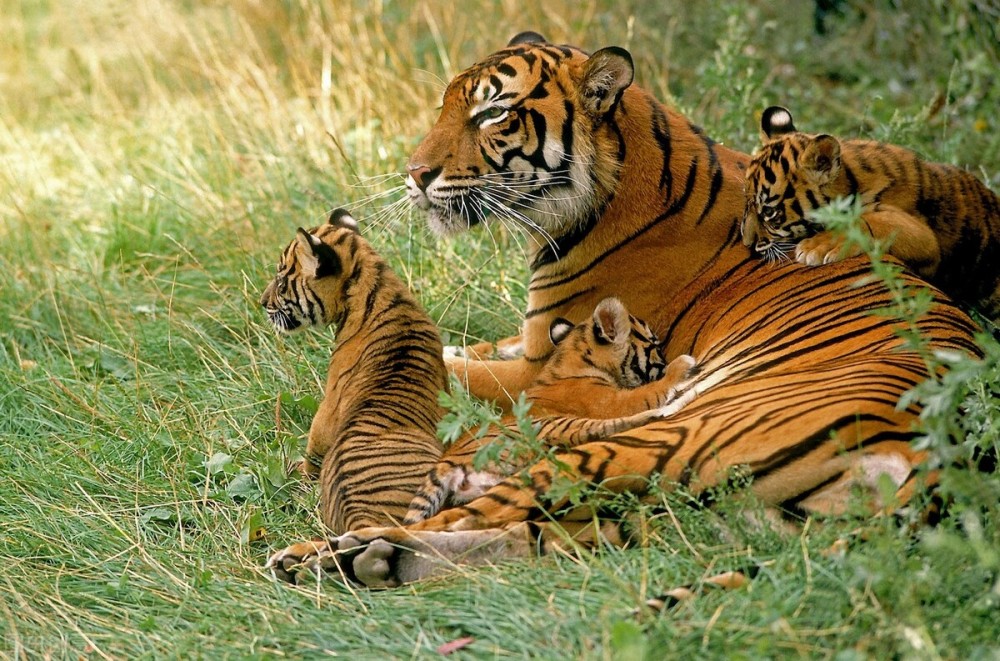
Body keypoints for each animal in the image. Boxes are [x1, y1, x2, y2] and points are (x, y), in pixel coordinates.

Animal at [266, 33, 976, 584]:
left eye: (492, 113)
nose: (414, 176)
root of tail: (936, 451)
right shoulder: (527, 337)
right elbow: (462, 346)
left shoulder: (540, 361)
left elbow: (455, 368)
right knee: (540, 536)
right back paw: (372, 562)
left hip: (660, 438)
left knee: (481, 513)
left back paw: (327, 556)